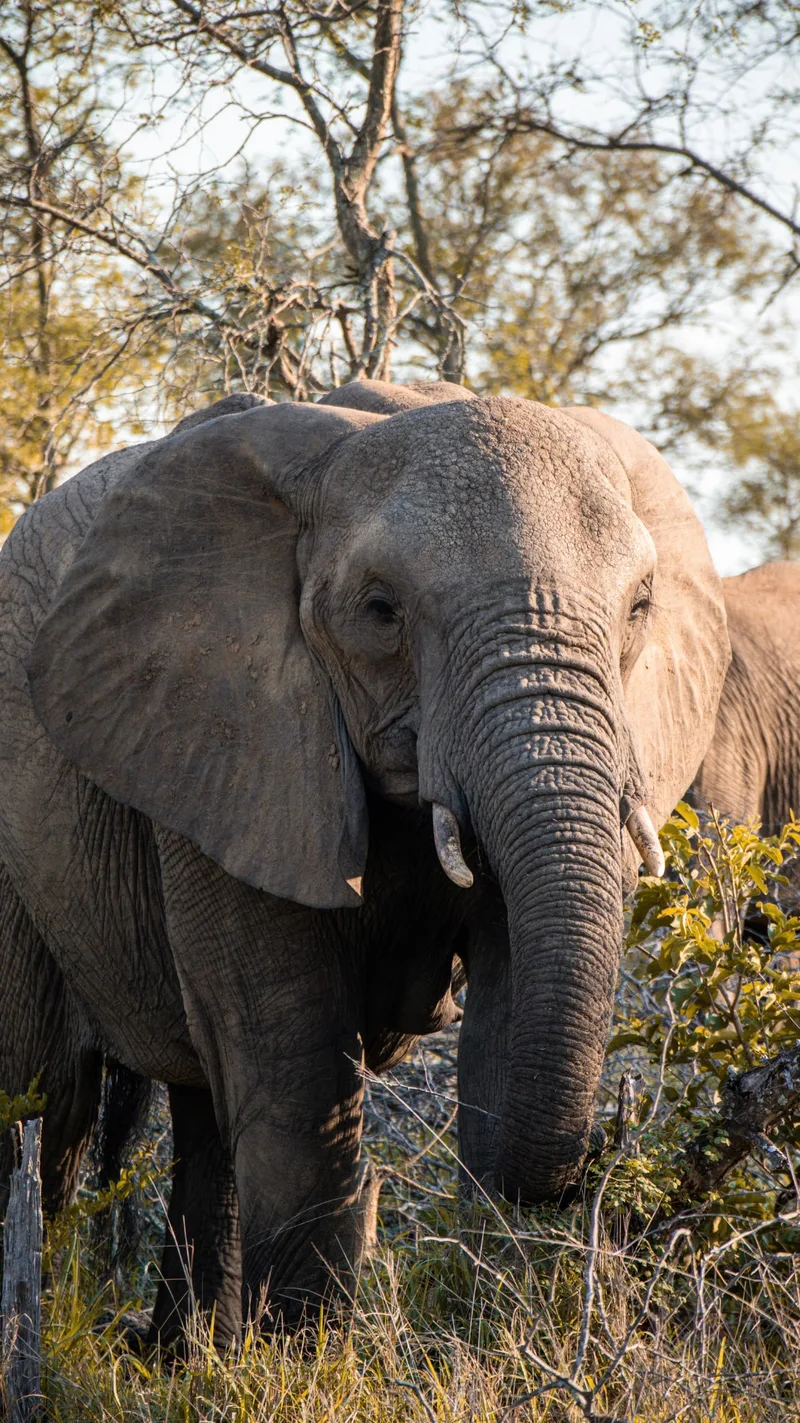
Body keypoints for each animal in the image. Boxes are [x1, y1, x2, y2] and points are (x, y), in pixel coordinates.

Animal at [0, 379, 730, 1344]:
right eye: (382, 611)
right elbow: (296, 1069)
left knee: (200, 1116)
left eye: (641, 605)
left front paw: (483, 1324)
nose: (612, 1136)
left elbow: (500, 1023)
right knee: (43, 1097)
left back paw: (185, 1354)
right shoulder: (227, 738)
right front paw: (308, 1361)